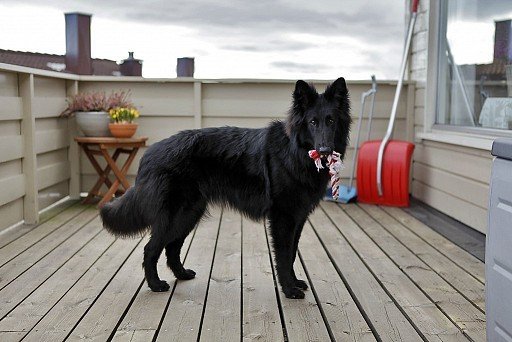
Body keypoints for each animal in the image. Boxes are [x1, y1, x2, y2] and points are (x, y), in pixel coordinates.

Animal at [102, 78, 354, 300]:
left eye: (331, 121)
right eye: (312, 122)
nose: (324, 150)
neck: (295, 151)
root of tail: (150, 152)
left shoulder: (298, 218)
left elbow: (291, 254)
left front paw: (294, 282)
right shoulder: (283, 218)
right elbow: (283, 256)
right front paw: (289, 289)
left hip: (188, 214)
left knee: (172, 247)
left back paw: (181, 274)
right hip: (173, 216)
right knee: (151, 249)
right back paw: (155, 285)